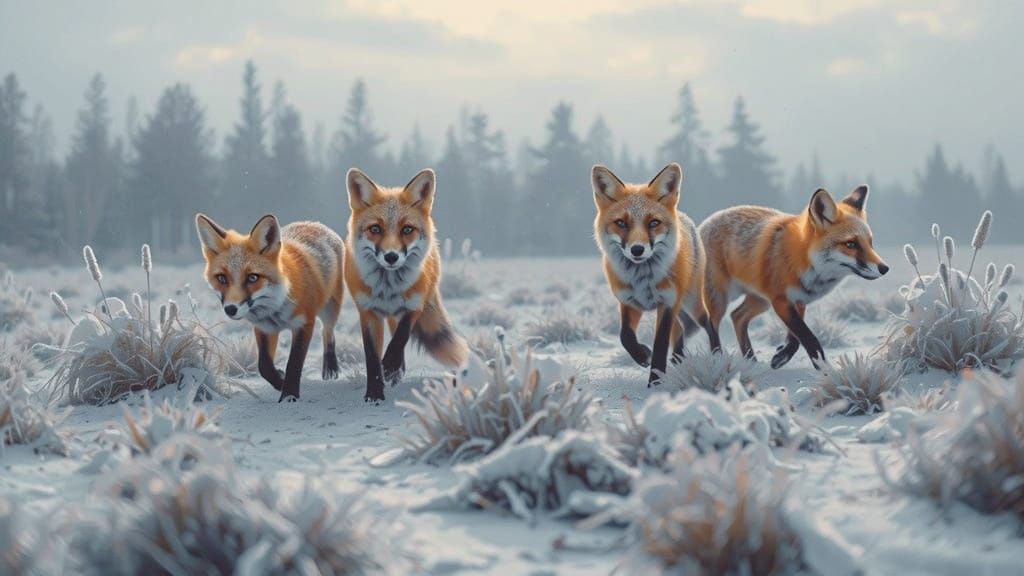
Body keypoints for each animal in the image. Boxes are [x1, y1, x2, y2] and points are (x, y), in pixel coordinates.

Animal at [195, 213, 346, 402]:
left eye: (252, 277)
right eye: (222, 278)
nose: (231, 309)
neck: (275, 309)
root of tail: (312, 223)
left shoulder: (304, 324)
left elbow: (294, 363)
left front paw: (289, 395)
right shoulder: (265, 328)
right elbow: (264, 366)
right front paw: (280, 381)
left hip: (330, 308)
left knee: (327, 331)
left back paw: (330, 366)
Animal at [344, 167, 469, 402]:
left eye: (407, 229)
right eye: (375, 229)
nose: (391, 257)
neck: (388, 289)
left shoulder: (414, 306)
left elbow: (400, 339)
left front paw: (390, 367)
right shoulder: (368, 312)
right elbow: (372, 357)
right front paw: (374, 393)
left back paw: (396, 371)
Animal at [592, 162, 719, 386]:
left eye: (653, 223)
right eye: (621, 223)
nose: (637, 250)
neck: (643, 279)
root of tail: (685, 217)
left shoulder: (668, 303)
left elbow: (660, 345)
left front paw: (655, 383)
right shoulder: (629, 303)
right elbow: (625, 336)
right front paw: (642, 355)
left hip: (692, 303)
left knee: (709, 323)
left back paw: (717, 355)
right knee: (681, 330)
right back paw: (678, 360)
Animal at [700, 185, 889, 371]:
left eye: (870, 243)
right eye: (851, 244)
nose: (885, 268)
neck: (802, 261)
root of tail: (706, 222)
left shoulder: (800, 300)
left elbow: (795, 338)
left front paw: (781, 356)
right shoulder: (781, 301)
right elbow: (808, 337)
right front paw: (824, 370)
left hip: (760, 301)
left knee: (737, 316)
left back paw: (751, 361)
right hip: (721, 299)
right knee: (712, 324)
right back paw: (718, 359)